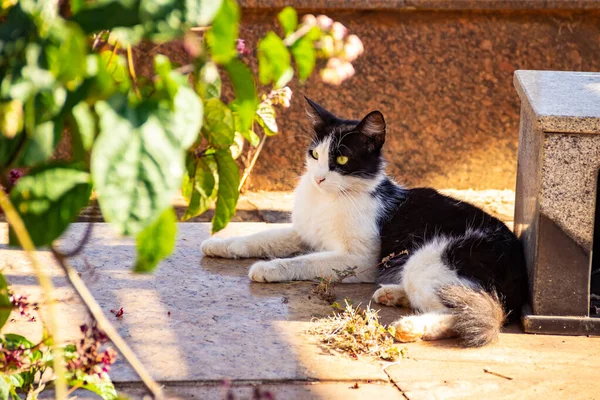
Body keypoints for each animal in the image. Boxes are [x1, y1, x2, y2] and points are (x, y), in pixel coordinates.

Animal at [203, 97, 528, 346]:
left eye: (341, 160)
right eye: (315, 154)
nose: (318, 178)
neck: (329, 198)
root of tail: (519, 272)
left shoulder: (360, 259)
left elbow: (305, 261)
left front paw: (269, 268)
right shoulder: (304, 233)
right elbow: (259, 238)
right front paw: (220, 244)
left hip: (428, 260)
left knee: (467, 313)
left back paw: (409, 326)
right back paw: (393, 293)